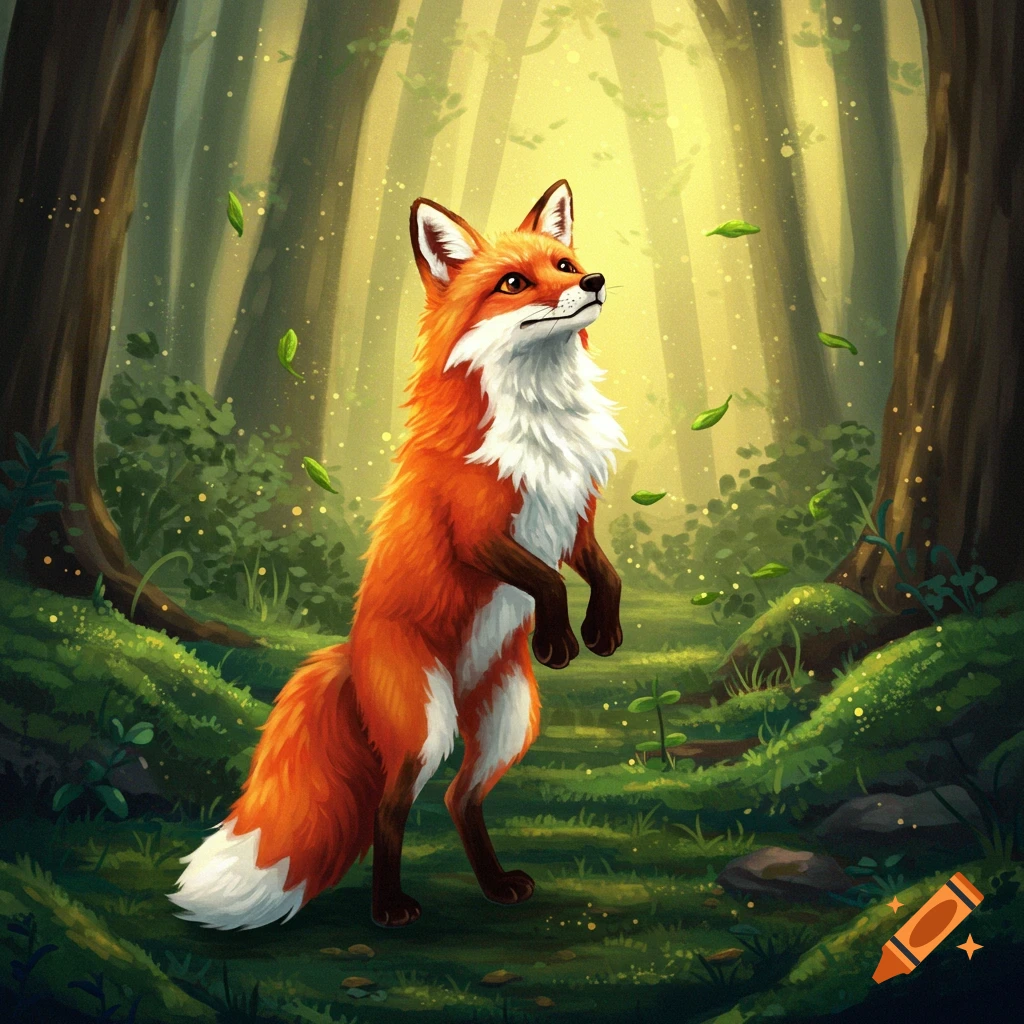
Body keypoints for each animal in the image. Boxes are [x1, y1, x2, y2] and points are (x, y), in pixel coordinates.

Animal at [169, 180, 626, 930]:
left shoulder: (575, 517)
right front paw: (561, 639)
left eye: (564, 264)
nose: (594, 281)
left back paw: (495, 886)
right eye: (512, 282)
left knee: (458, 800)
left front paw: (603, 632)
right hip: (424, 730)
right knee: (392, 809)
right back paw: (388, 909)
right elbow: (546, 581)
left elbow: (602, 574)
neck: (540, 414)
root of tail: (349, 656)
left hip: (509, 724)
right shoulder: (477, 534)